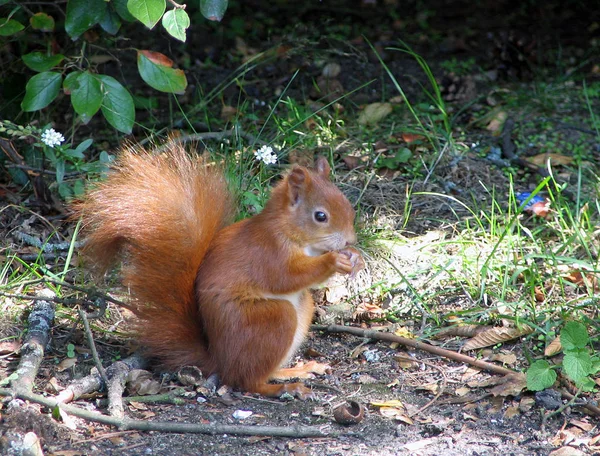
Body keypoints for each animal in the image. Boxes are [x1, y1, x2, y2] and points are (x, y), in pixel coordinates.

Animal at [77, 142, 364, 400]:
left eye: (349, 206)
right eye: (320, 216)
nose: (351, 240)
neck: (290, 231)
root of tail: (220, 361)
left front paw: (356, 258)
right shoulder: (268, 254)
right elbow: (286, 277)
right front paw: (334, 261)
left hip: (303, 309)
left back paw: (296, 370)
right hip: (273, 319)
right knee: (246, 380)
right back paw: (283, 388)